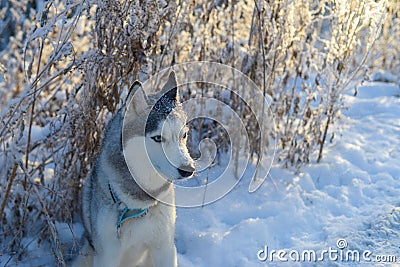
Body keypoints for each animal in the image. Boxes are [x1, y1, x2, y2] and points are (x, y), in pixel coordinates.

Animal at [74, 72, 197, 267]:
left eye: (183, 135)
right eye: (157, 138)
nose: (188, 170)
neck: (138, 205)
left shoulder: (165, 248)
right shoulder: (107, 255)